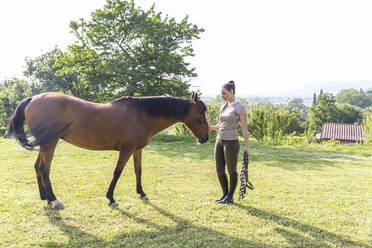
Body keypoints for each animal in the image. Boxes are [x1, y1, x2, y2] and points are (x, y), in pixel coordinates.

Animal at [7, 92, 209, 208]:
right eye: (201, 113)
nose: (205, 137)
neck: (141, 115)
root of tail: (33, 98)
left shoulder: (137, 149)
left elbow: (138, 171)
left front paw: (142, 193)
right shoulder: (126, 150)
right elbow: (117, 172)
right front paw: (111, 198)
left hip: (45, 144)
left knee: (37, 166)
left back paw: (45, 197)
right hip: (50, 143)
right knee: (44, 169)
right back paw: (54, 199)